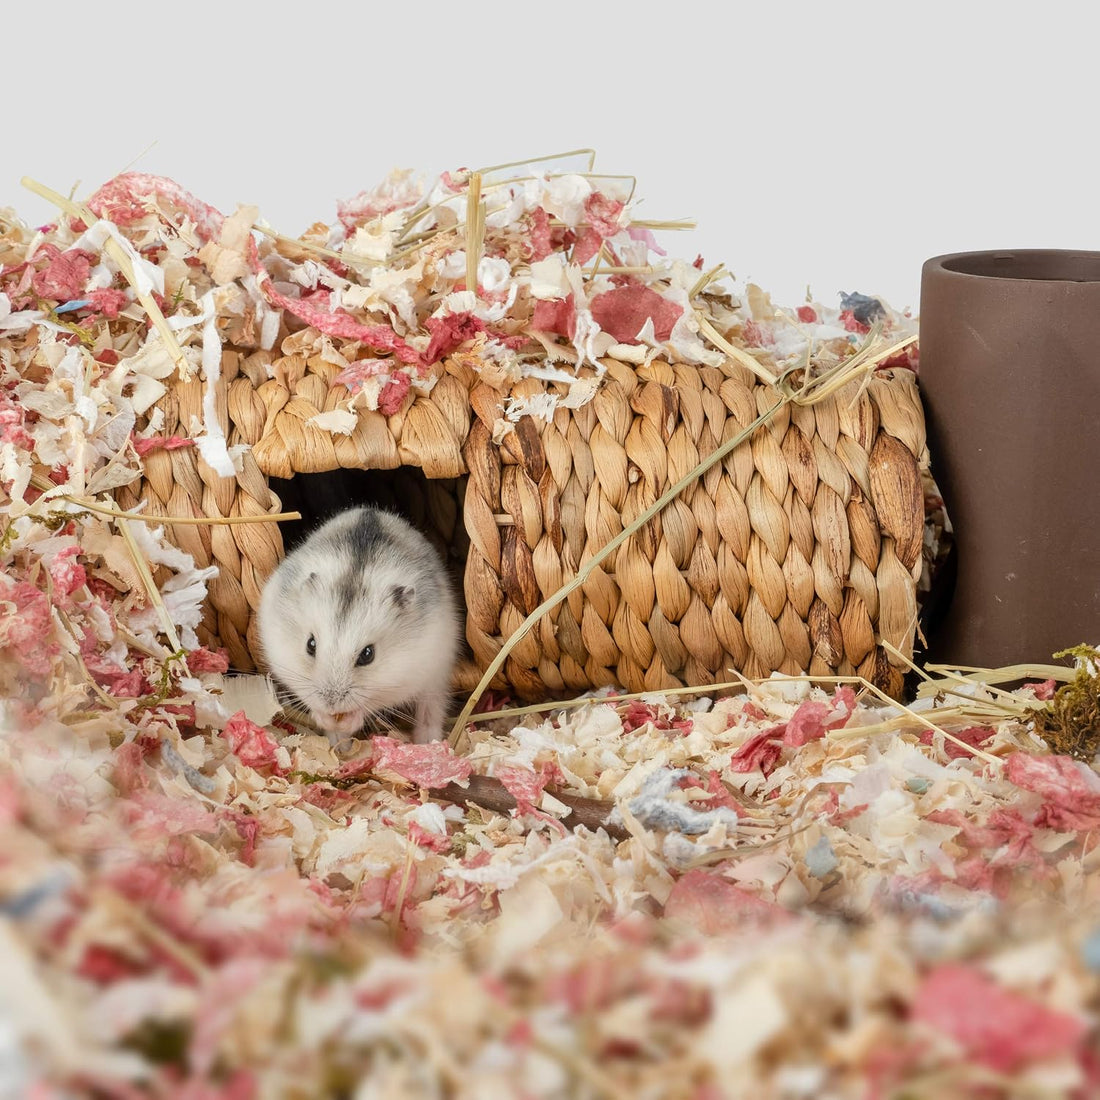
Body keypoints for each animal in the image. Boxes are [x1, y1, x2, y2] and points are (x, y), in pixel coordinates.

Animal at [257, 506, 460, 745]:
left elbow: (369, 704)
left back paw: (429, 743)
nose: (331, 704)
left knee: (430, 711)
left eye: (368, 654)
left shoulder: (405, 678)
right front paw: (326, 719)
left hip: (436, 679)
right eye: (310, 645)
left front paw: (346, 721)